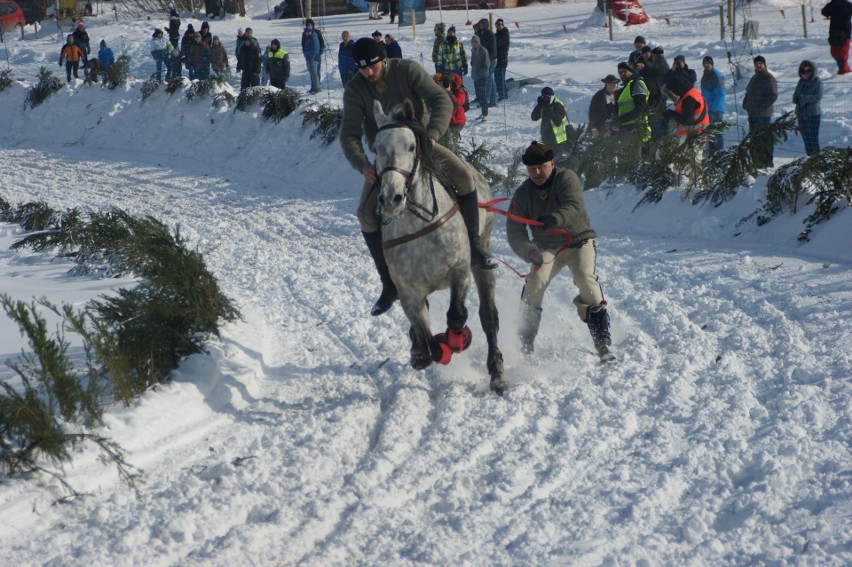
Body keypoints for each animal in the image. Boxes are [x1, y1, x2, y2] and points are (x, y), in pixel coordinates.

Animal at [372, 100, 506, 394]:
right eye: (376, 148)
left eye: (411, 146)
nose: (391, 198)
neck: (417, 224)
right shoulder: (409, 294)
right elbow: (427, 338)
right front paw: (423, 352)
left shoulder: (459, 272)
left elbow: (456, 314)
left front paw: (458, 340)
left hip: (482, 256)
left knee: (488, 316)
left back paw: (497, 373)